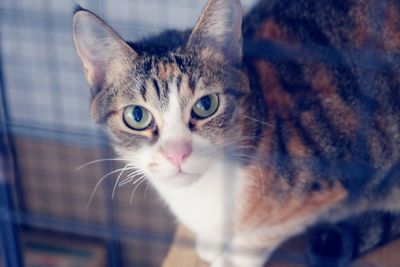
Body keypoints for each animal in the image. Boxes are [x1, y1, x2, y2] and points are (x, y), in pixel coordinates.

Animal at [72, 0, 400, 266]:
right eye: (137, 116)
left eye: (206, 105)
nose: (178, 153)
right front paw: (211, 244)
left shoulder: (334, 175)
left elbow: (260, 237)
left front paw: (233, 256)